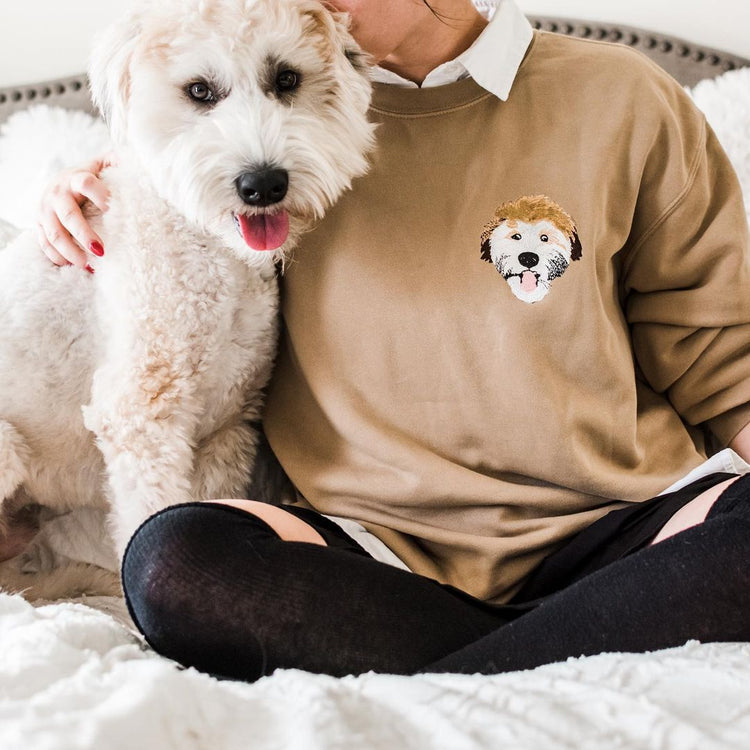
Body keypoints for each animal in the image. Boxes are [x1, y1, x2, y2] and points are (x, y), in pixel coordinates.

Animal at [0, 0, 376, 600]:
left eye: (286, 79)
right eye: (199, 91)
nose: (262, 184)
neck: (209, 247)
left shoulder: (227, 431)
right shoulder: (141, 420)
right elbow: (151, 519)